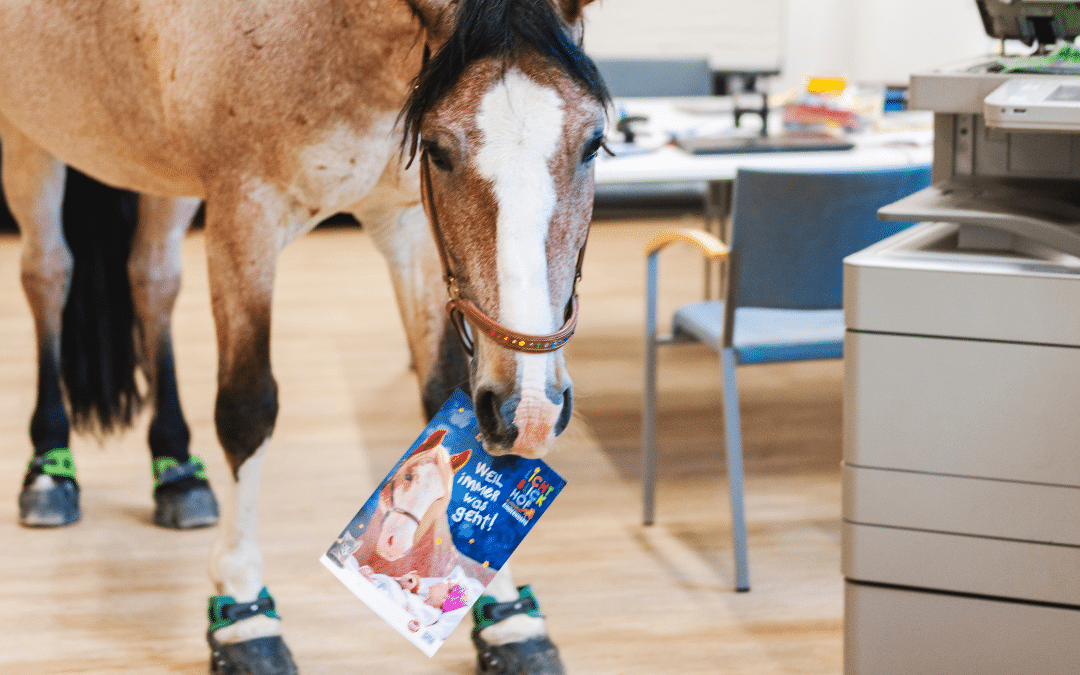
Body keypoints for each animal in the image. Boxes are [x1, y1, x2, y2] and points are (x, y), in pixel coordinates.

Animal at [0, 1, 609, 673]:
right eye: (440, 150)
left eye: (593, 144)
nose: (529, 409)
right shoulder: (245, 216)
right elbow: (247, 410)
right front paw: (244, 614)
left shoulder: (410, 226)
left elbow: (446, 399)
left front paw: (504, 616)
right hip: (29, 137)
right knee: (48, 274)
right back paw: (49, 468)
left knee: (152, 279)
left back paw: (178, 471)